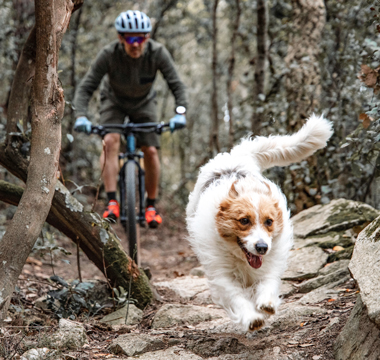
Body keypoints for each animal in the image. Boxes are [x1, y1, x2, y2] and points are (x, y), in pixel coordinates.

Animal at [186, 114, 332, 330]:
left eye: (269, 221)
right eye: (244, 221)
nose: (262, 247)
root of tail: (234, 156)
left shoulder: (270, 261)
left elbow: (267, 282)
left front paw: (267, 303)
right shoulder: (222, 273)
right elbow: (236, 297)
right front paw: (251, 317)